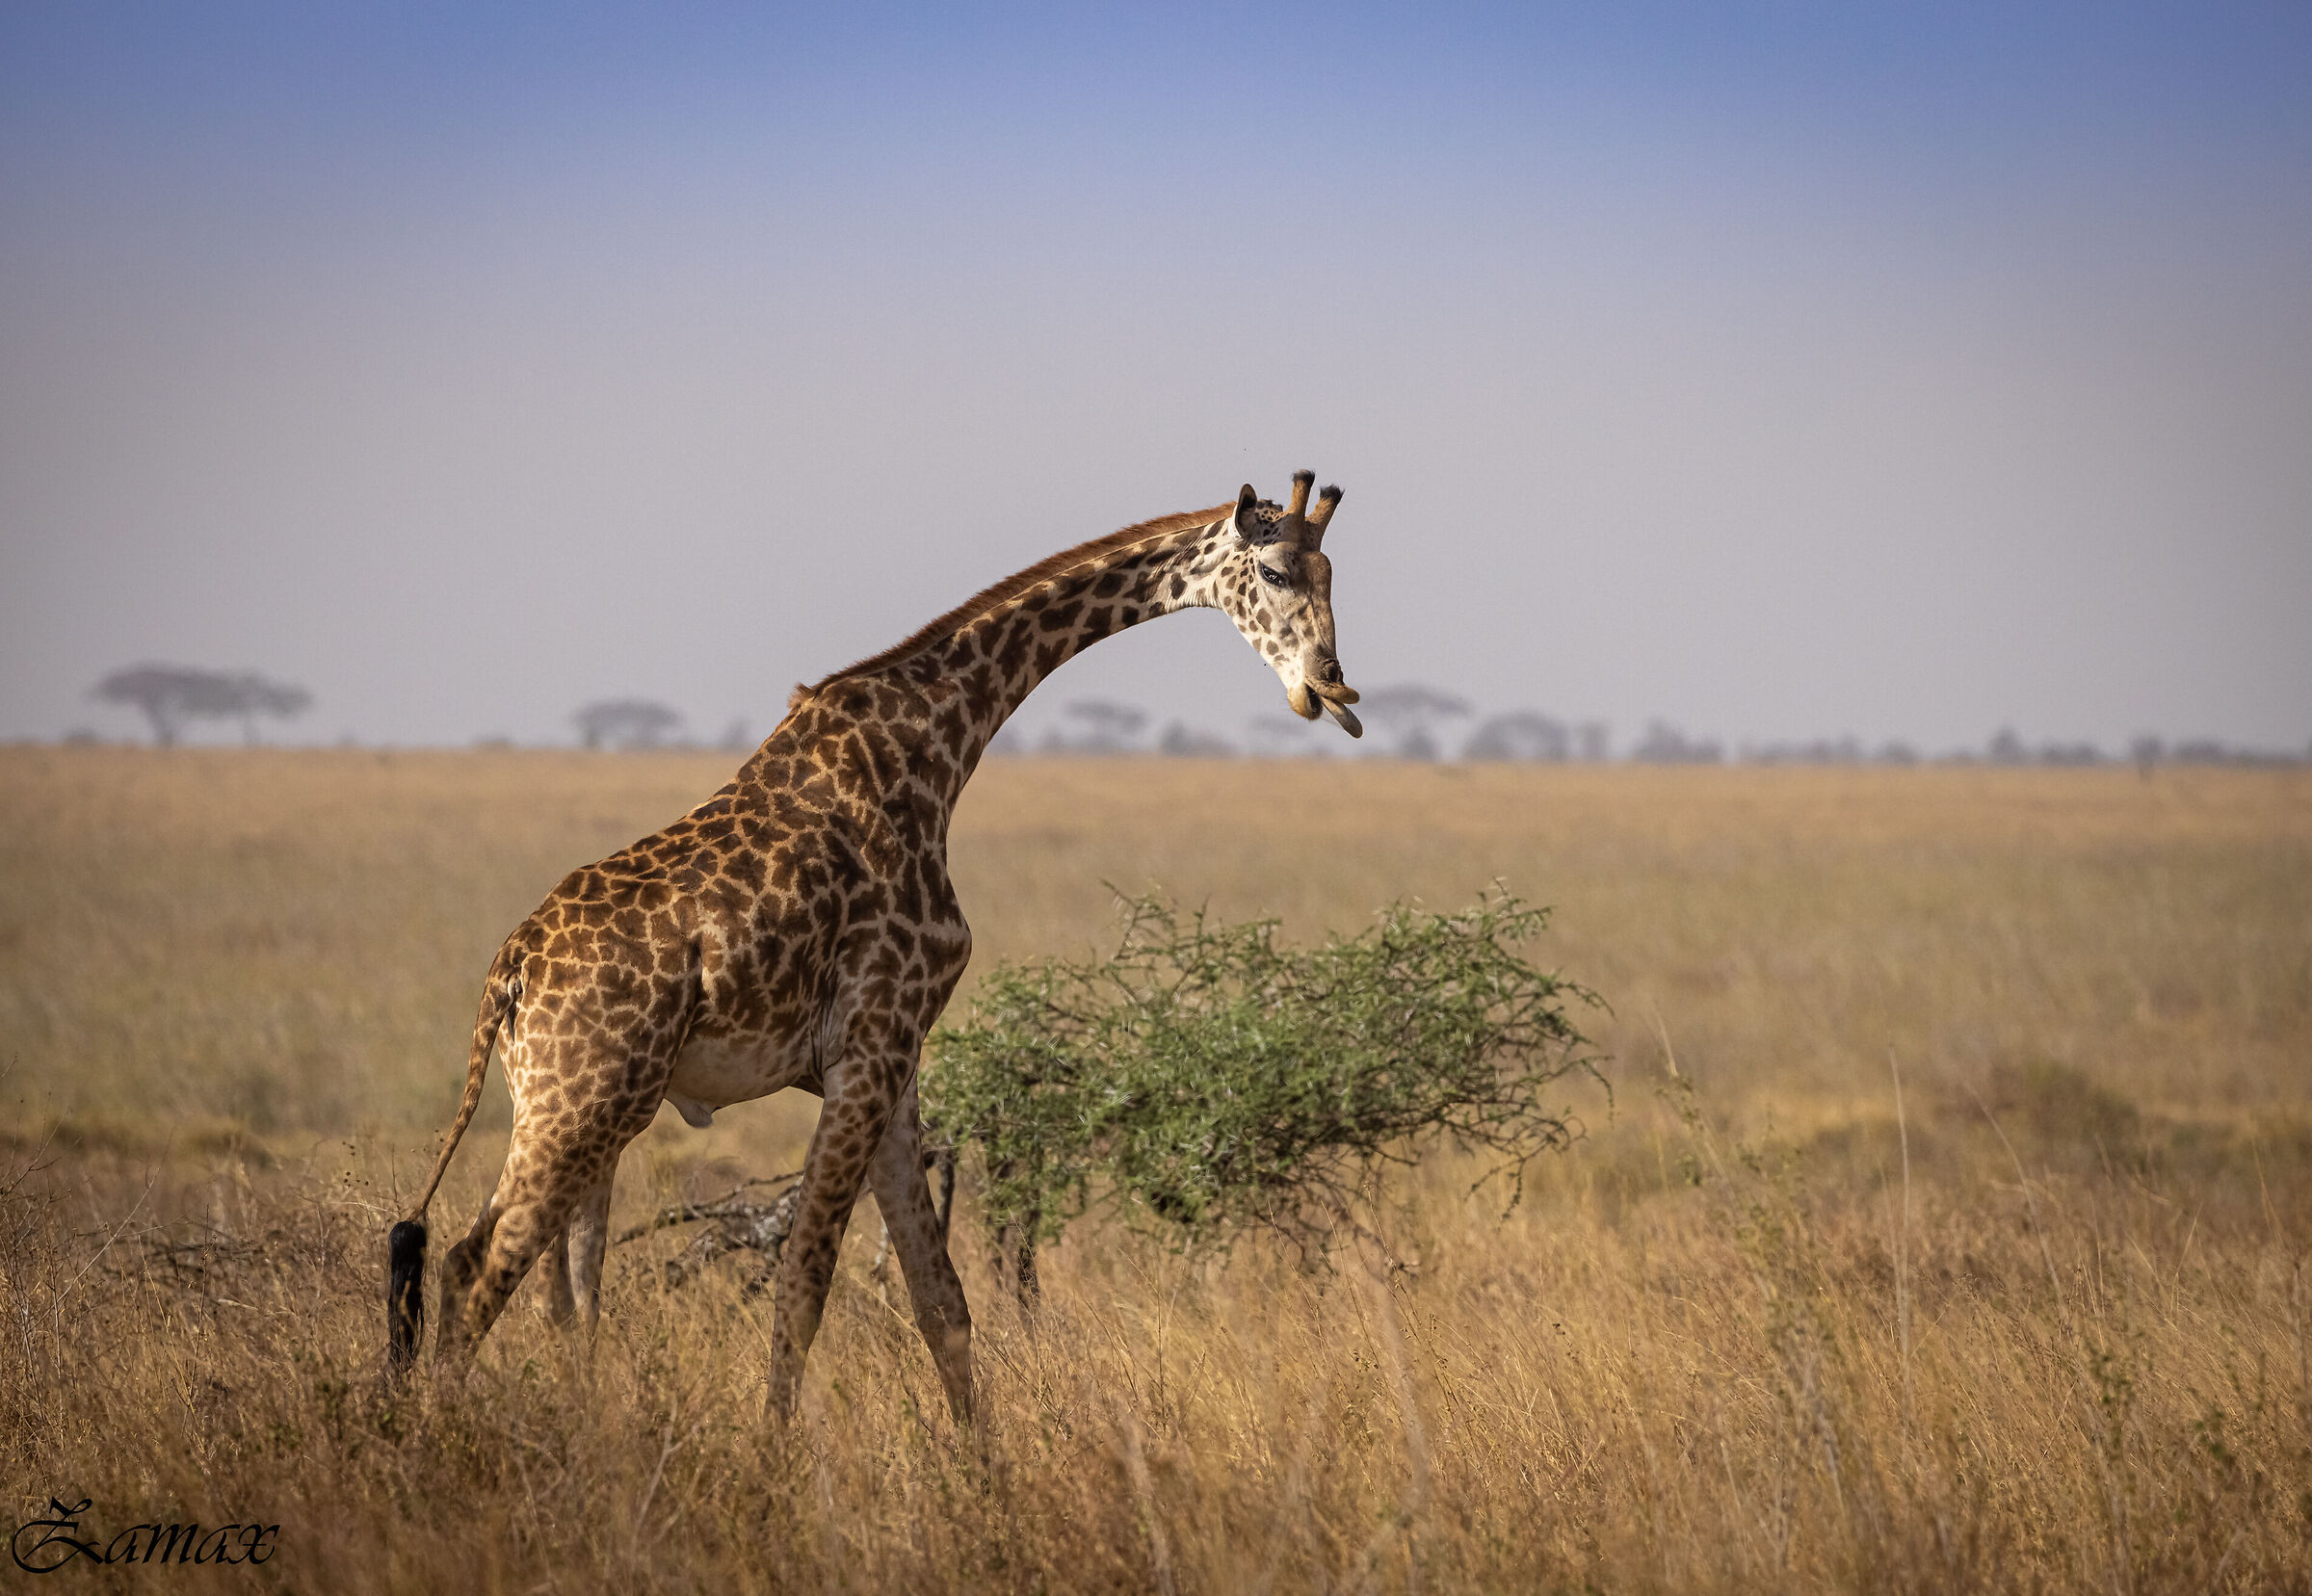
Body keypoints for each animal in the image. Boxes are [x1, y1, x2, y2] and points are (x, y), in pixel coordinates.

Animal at [385, 471, 1361, 1424]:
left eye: (1334, 575)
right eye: (1276, 571)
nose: (1334, 686)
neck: (936, 748)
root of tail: (508, 973)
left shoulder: (895, 1065)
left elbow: (942, 1300)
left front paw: (980, 1466)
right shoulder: (867, 1049)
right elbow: (805, 1284)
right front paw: (775, 1460)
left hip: (577, 1108)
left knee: (561, 1290)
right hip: (581, 1103)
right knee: (475, 1269)